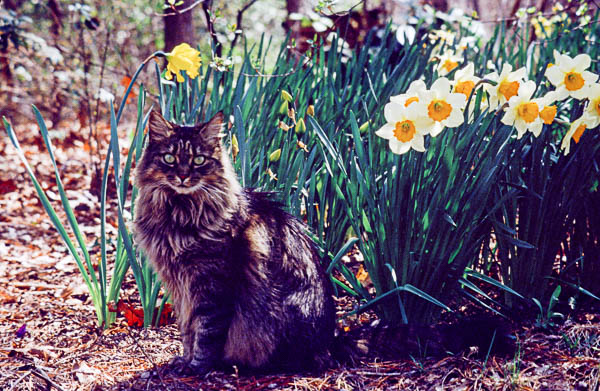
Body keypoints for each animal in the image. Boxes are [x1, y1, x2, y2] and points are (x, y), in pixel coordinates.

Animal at [133, 111, 336, 376]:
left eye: (199, 160)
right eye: (169, 158)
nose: (183, 176)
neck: (179, 214)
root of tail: (331, 343)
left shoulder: (212, 286)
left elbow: (205, 334)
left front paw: (197, 367)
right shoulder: (180, 288)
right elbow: (188, 330)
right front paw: (185, 360)